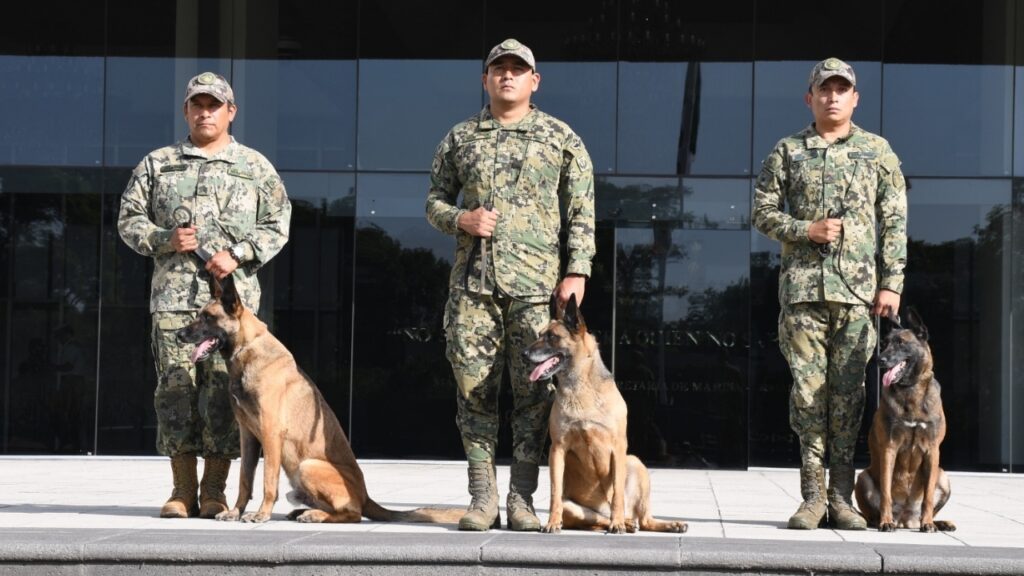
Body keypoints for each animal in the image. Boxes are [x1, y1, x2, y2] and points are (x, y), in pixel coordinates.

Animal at [176, 275, 463, 525]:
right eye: (199, 315)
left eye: (208, 318)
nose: (179, 335)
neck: (248, 348)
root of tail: (367, 496)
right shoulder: (248, 437)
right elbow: (245, 480)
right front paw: (236, 512)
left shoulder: (270, 434)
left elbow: (268, 480)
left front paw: (261, 514)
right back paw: (304, 512)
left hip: (307, 466)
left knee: (352, 514)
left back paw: (314, 515)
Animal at [523, 294, 687, 534]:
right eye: (539, 335)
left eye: (552, 337)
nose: (524, 354)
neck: (580, 387)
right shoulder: (557, 449)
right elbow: (554, 492)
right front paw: (552, 522)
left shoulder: (617, 448)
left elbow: (617, 492)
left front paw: (616, 523)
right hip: (575, 507)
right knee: (599, 518)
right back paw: (625, 523)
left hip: (635, 463)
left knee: (644, 519)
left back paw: (656, 523)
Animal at [854, 308, 955, 532]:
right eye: (884, 343)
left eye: (901, 343)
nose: (880, 360)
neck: (911, 390)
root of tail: (905, 518)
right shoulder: (889, 448)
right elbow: (886, 493)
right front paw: (885, 521)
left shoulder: (932, 451)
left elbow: (927, 497)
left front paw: (928, 524)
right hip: (863, 477)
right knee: (871, 513)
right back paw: (879, 520)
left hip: (943, 476)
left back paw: (939, 522)